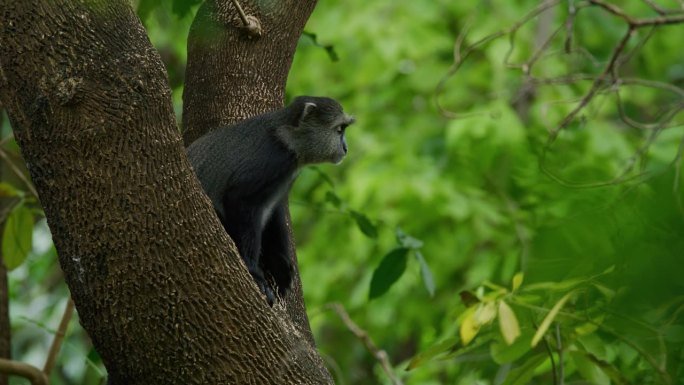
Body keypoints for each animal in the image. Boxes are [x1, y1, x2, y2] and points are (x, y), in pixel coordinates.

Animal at [187, 95, 358, 304]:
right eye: (339, 130)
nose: (346, 148)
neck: (288, 138)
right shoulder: (272, 160)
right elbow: (238, 199)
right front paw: (253, 272)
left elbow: (275, 211)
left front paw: (280, 264)